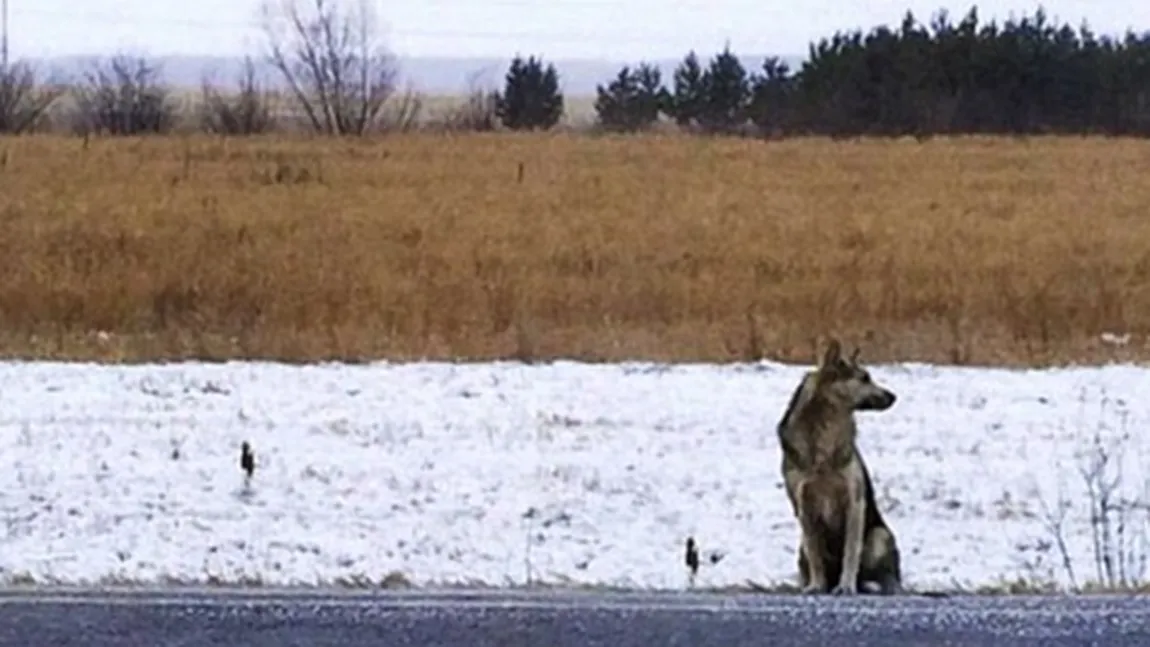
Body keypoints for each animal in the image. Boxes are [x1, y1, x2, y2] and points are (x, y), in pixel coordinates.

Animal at [777, 340, 901, 597]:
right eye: (864, 378)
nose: (893, 396)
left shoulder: (854, 502)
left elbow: (851, 551)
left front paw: (846, 586)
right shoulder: (803, 506)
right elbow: (816, 554)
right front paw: (817, 585)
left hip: (878, 536)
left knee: (881, 575)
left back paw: (872, 585)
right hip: (801, 546)